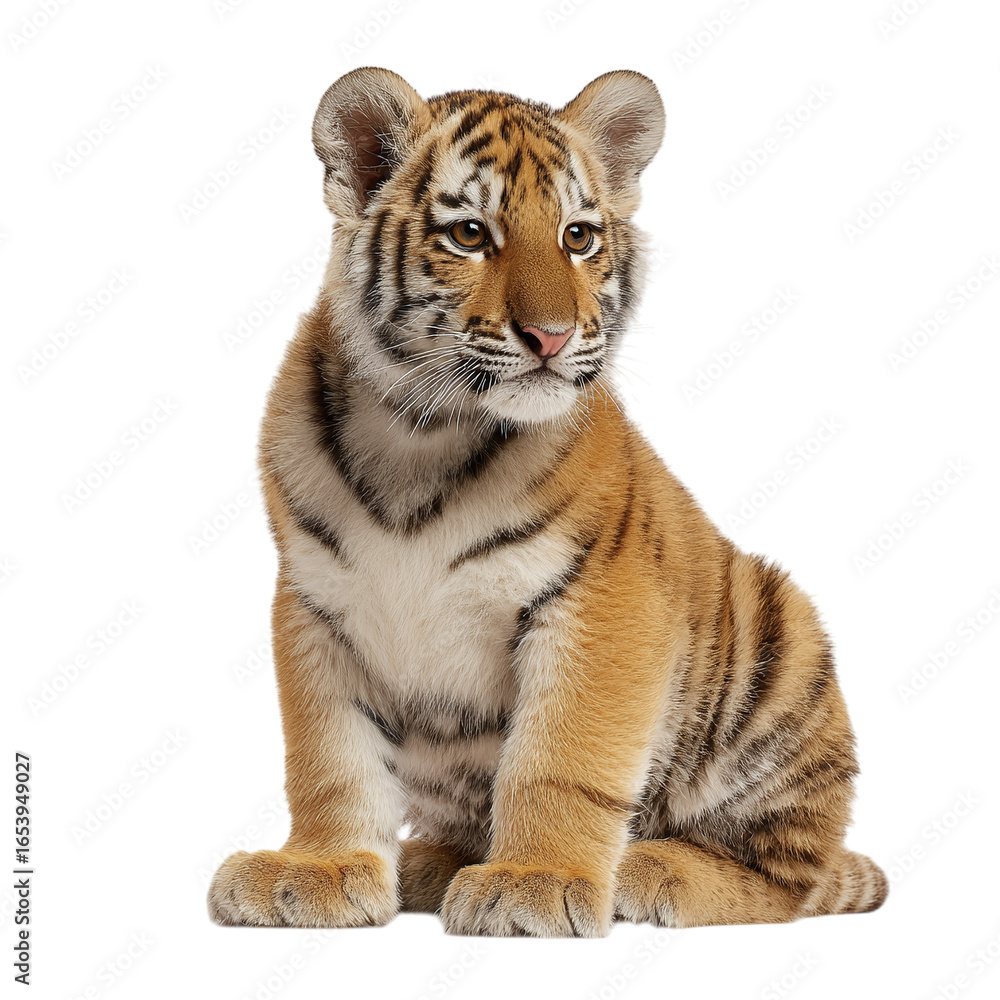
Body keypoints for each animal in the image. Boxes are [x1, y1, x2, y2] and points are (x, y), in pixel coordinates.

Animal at [207, 67, 888, 937]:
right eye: (470, 235)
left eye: (578, 237)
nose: (554, 336)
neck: (417, 433)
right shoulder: (314, 603)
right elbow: (329, 757)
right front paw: (317, 869)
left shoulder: (603, 597)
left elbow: (561, 757)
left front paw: (536, 881)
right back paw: (430, 864)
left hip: (781, 634)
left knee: (785, 877)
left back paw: (653, 868)